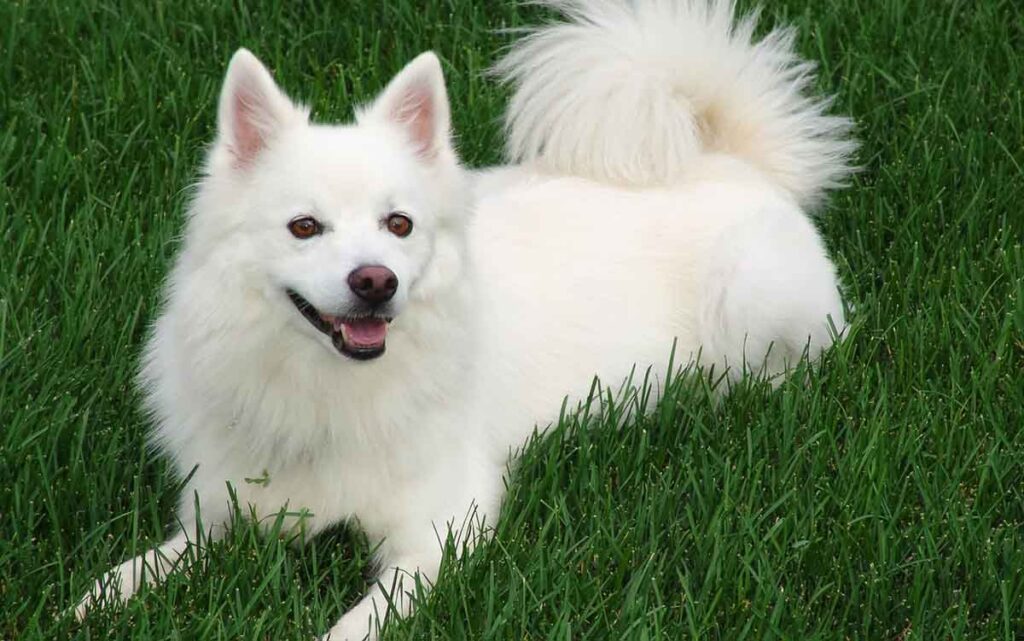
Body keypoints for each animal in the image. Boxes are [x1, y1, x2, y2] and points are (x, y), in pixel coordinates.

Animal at [74, 2, 856, 634]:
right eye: (304, 227)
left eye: (398, 224)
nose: (375, 281)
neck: (326, 388)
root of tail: (734, 161)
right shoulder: (222, 510)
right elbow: (150, 563)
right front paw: (95, 599)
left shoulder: (440, 529)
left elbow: (356, 624)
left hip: (753, 296)